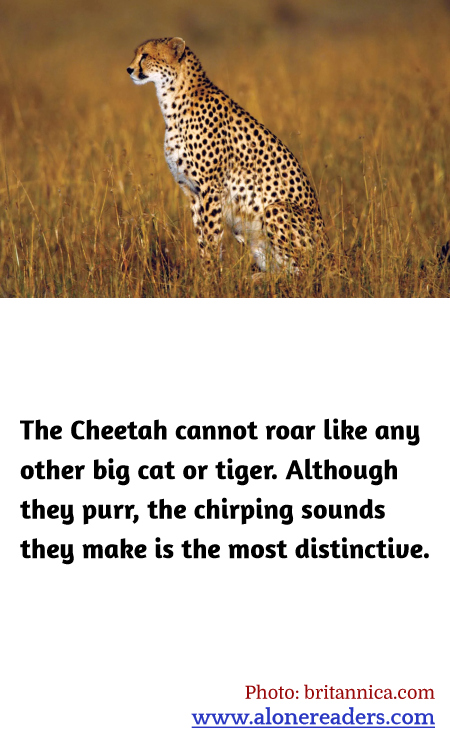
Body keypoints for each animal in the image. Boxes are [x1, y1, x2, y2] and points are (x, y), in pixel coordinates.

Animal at [127, 37, 329, 273]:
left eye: (145, 55)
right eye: (137, 54)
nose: (129, 69)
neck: (173, 99)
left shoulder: (210, 188)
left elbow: (212, 236)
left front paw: (211, 274)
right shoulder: (191, 191)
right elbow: (202, 237)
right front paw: (205, 273)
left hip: (275, 209)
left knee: (308, 271)